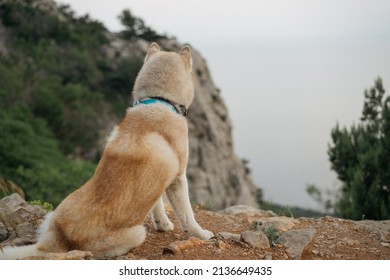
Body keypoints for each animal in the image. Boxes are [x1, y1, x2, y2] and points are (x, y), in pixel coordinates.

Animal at [0, 42, 213, 260]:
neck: (159, 100)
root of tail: (57, 239)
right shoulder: (178, 179)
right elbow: (188, 216)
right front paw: (201, 233)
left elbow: (157, 206)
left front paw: (163, 224)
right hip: (137, 232)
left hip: (54, 214)